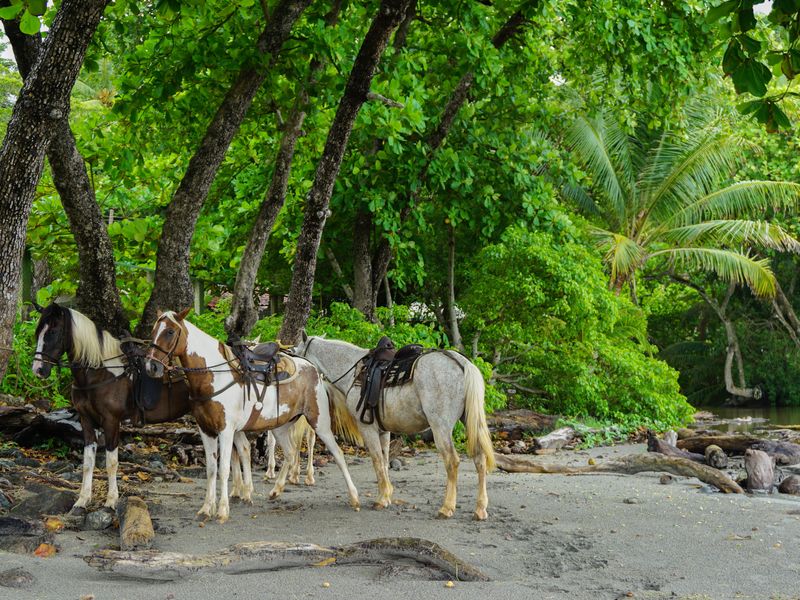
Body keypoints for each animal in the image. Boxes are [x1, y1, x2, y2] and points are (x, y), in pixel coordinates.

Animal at [31, 304, 250, 516]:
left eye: (53, 332)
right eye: (38, 332)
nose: (38, 370)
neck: (100, 372)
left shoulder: (111, 422)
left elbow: (111, 463)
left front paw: (110, 502)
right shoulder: (86, 421)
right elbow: (88, 462)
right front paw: (82, 501)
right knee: (238, 450)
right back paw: (239, 492)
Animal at [144, 310, 360, 520]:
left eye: (170, 331)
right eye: (153, 331)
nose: (151, 367)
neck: (214, 377)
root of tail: (314, 369)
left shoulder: (226, 431)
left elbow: (224, 469)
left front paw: (222, 510)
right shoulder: (206, 431)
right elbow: (212, 469)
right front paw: (206, 509)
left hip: (319, 422)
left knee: (337, 453)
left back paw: (354, 497)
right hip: (280, 427)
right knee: (290, 453)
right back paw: (276, 490)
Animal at [294, 332, 494, 520]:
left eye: (296, 352)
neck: (353, 371)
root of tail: (462, 362)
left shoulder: (367, 429)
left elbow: (376, 460)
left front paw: (381, 499)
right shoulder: (384, 431)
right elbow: (384, 461)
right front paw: (387, 495)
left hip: (440, 428)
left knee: (452, 461)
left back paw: (446, 508)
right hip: (469, 422)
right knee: (480, 459)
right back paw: (480, 509)